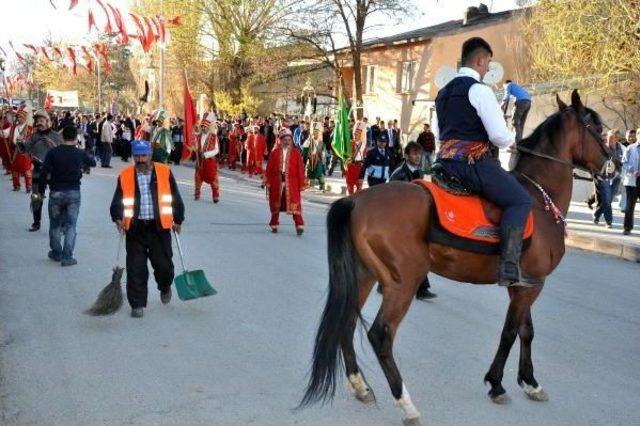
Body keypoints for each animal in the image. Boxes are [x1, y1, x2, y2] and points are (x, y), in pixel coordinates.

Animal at [300, 88, 608, 424]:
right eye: (598, 127)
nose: (614, 164)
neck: (540, 199)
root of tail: (356, 200)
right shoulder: (531, 286)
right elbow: (510, 332)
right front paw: (497, 384)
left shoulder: (525, 284)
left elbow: (526, 331)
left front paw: (530, 382)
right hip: (402, 281)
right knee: (381, 335)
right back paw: (406, 403)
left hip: (364, 274)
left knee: (346, 321)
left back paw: (360, 386)